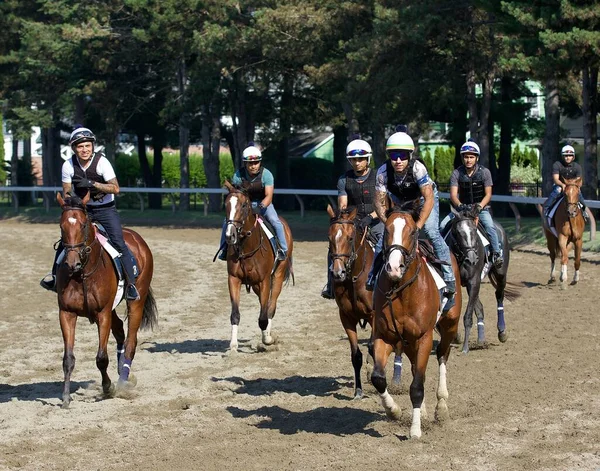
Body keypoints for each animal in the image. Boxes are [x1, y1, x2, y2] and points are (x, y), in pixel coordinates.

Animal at [55, 192, 157, 410]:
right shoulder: (66, 313)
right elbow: (68, 358)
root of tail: (136, 237)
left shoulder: (102, 313)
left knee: (130, 341)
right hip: (112, 309)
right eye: (62, 225)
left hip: (136, 300)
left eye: (83, 224)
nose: (72, 263)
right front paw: (66, 397)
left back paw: (123, 380)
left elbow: (101, 357)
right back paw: (121, 370)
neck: (83, 274)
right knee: (119, 331)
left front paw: (108, 387)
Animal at [223, 183, 292, 352]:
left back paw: (268, 336)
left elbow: (263, 317)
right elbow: (235, 314)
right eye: (226, 204)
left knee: (270, 307)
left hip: (277, 276)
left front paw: (267, 339)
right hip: (255, 285)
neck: (247, 247)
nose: (230, 235)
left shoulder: (264, 280)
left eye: (243, 205)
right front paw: (233, 346)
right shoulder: (233, 279)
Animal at [368, 208, 462, 440]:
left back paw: (441, 407)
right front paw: (393, 410)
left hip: (449, 325)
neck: (402, 292)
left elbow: (417, 386)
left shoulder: (424, 338)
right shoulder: (385, 336)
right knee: (414, 367)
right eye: (387, 231)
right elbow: (378, 378)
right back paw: (425, 411)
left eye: (411, 232)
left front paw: (415, 429)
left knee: (442, 356)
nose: (394, 267)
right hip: (409, 343)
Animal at [446, 208, 520, 352]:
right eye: (457, 232)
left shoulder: (474, 281)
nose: (472, 258)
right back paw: (480, 339)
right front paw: (456, 336)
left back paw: (502, 331)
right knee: (479, 307)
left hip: (500, 274)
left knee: (499, 295)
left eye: (474, 230)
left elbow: (468, 315)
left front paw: (465, 348)